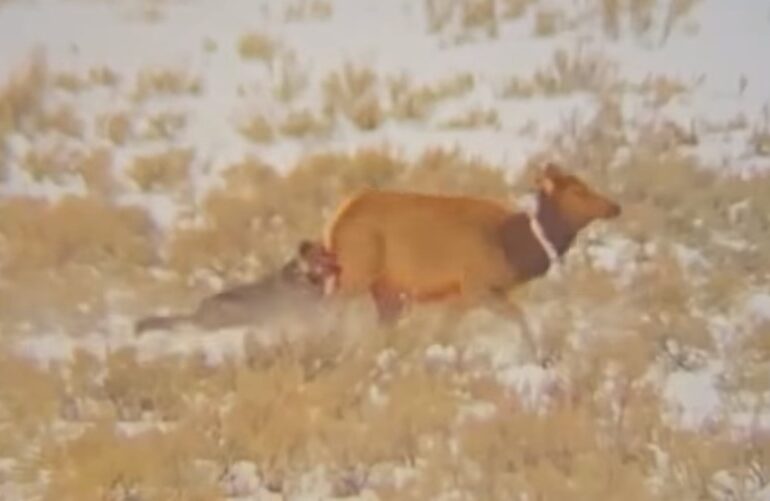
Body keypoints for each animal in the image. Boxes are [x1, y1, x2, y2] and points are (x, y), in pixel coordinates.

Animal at [134, 240, 340, 334]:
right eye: (321, 257)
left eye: (326, 253)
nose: (338, 265)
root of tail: (198, 313)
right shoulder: (307, 309)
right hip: (237, 309)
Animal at [322, 163, 621, 353]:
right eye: (578, 191)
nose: (614, 207)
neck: (512, 250)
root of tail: (335, 222)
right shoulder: (477, 286)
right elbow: (519, 318)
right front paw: (537, 357)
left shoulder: (461, 298)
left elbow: (443, 336)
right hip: (357, 270)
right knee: (332, 309)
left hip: (386, 291)